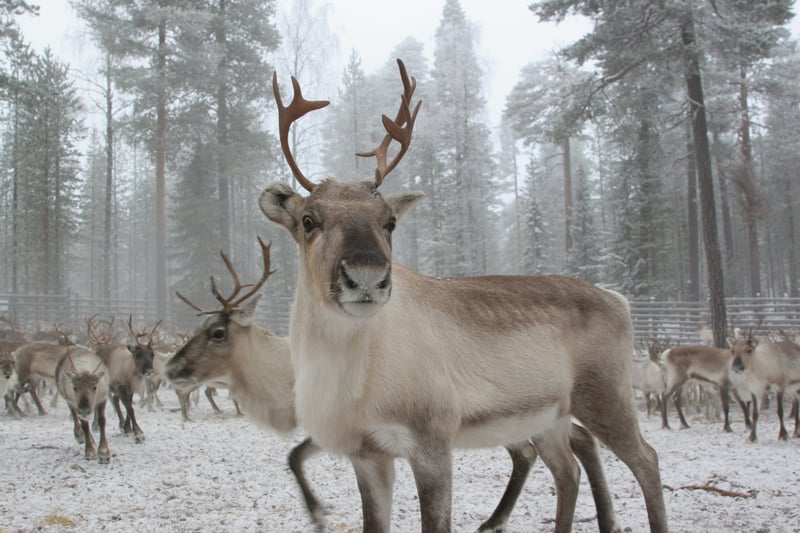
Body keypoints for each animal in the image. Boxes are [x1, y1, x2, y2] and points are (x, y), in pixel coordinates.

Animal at [54, 333, 111, 463]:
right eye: (74, 387)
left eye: (94, 387)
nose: (84, 409)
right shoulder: (74, 402)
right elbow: (84, 425)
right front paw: (90, 451)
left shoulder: (103, 397)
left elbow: (102, 421)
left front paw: (104, 452)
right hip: (69, 401)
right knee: (76, 417)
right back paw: (80, 436)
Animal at [167, 238, 624, 532]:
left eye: (218, 332)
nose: (171, 368)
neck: (285, 384)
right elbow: (294, 456)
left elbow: (294, 455)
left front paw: (318, 513)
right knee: (565, 444)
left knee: (550, 447)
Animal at [258, 58, 667, 533]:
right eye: (309, 220)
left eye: (389, 221)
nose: (367, 277)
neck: (347, 380)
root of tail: (618, 299)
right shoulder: (367, 453)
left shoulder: (432, 439)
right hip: (549, 414)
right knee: (568, 470)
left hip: (605, 395)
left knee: (646, 459)